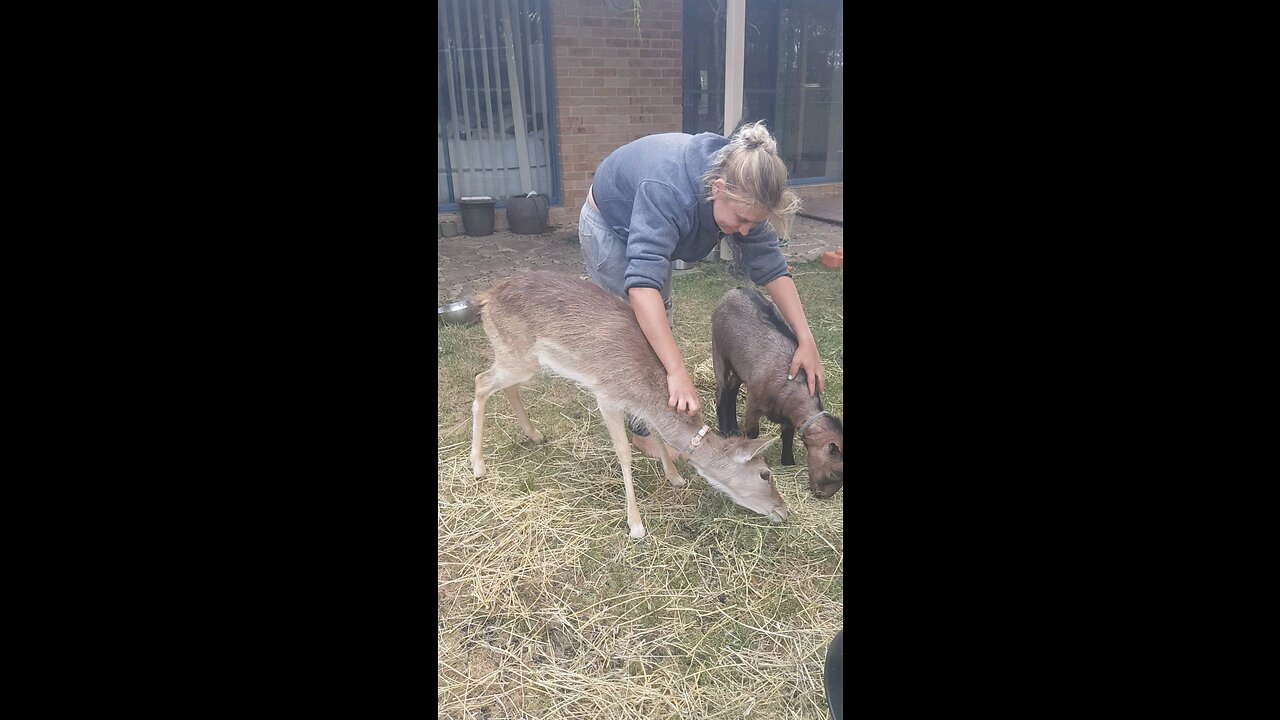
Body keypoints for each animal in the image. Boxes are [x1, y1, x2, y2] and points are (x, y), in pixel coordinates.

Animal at [471, 270, 788, 538]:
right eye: (765, 473)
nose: (783, 509)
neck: (646, 389)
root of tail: (485, 297)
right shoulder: (607, 395)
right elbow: (624, 452)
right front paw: (636, 525)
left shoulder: (642, 407)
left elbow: (657, 434)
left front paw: (675, 478)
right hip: (516, 354)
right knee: (480, 381)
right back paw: (478, 466)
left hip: (520, 360)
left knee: (505, 386)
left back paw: (534, 434)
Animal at [706, 288, 844, 497]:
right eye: (834, 473)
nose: (822, 496)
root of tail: (736, 290)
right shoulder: (754, 402)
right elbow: (753, 432)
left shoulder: (787, 415)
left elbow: (787, 435)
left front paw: (788, 462)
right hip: (719, 350)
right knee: (721, 390)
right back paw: (724, 430)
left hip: (740, 367)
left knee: (731, 389)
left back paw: (733, 429)